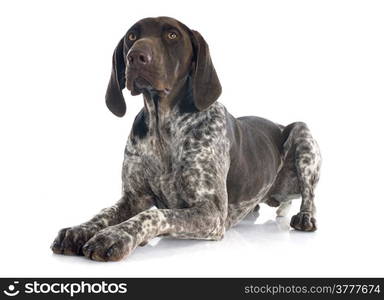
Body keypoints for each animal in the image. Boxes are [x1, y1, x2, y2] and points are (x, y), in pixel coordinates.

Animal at [51, 16, 320, 262]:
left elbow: (152, 215)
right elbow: (104, 212)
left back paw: (305, 217)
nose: (136, 56)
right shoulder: (133, 198)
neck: (162, 128)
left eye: (172, 35)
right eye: (132, 36)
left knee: (309, 194)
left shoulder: (210, 212)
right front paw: (80, 229)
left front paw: (115, 236)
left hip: (303, 134)